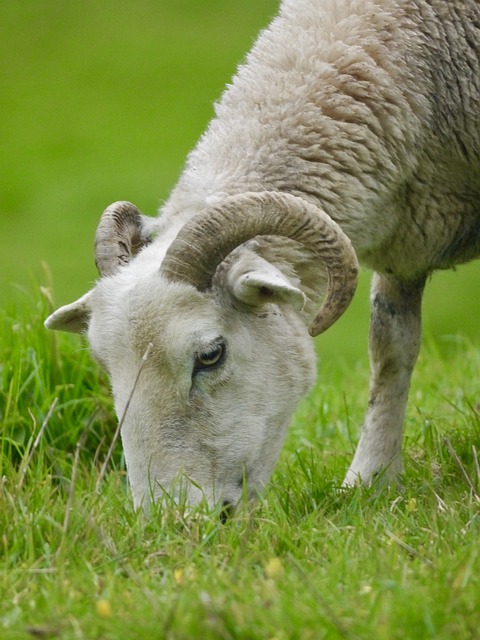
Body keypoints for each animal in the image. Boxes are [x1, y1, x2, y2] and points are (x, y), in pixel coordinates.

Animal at [45, 0, 480, 510]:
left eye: (211, 355)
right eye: (105, 366)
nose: (172, 521)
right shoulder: (405, 250)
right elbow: (391, 349)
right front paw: (371, 479)